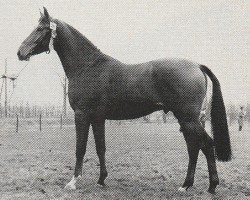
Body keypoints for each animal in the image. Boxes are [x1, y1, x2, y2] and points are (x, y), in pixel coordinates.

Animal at [17, 7, 231, 194]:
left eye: (40, 28)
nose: (20, 52)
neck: (88, 67)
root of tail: (196, 65)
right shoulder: (98, 118)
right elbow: (100, 148)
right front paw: (101, 180)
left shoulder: (82, 115)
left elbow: (81, 148)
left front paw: (73, 182)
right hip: (187, 120)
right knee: (195, 147)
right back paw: (191, 185)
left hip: (188, 119)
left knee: (205, 145)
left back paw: (205, 186)